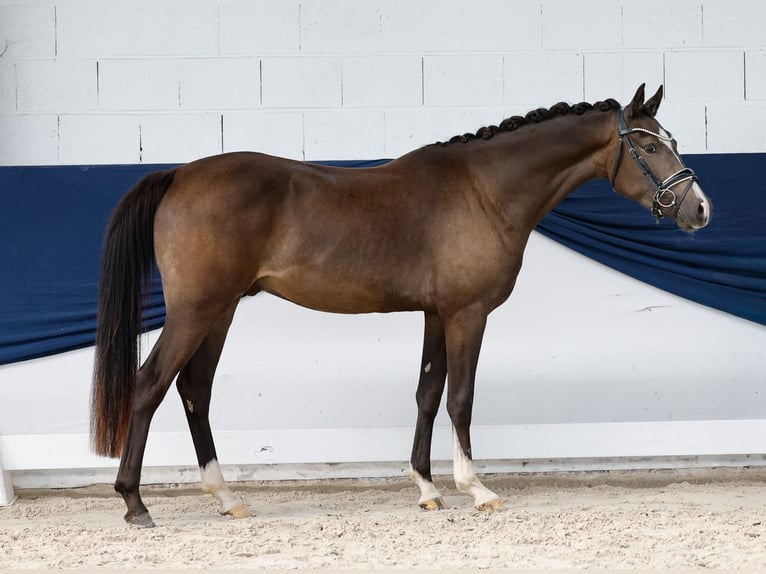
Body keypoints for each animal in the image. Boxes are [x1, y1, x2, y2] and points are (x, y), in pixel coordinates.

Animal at [91, 84, 711, 527]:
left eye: (673, 140)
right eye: (650, 145)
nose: (700, 209)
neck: (485, 190)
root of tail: (179, 174)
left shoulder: (436, 313)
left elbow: (427, 395)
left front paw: (428, 490)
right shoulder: (467, 314)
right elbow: (461, 399)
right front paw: (476, 489)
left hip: (220, 312)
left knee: (194, 390)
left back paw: (226, 498)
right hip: (196, 311)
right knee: (151, 384)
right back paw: (135, 504)